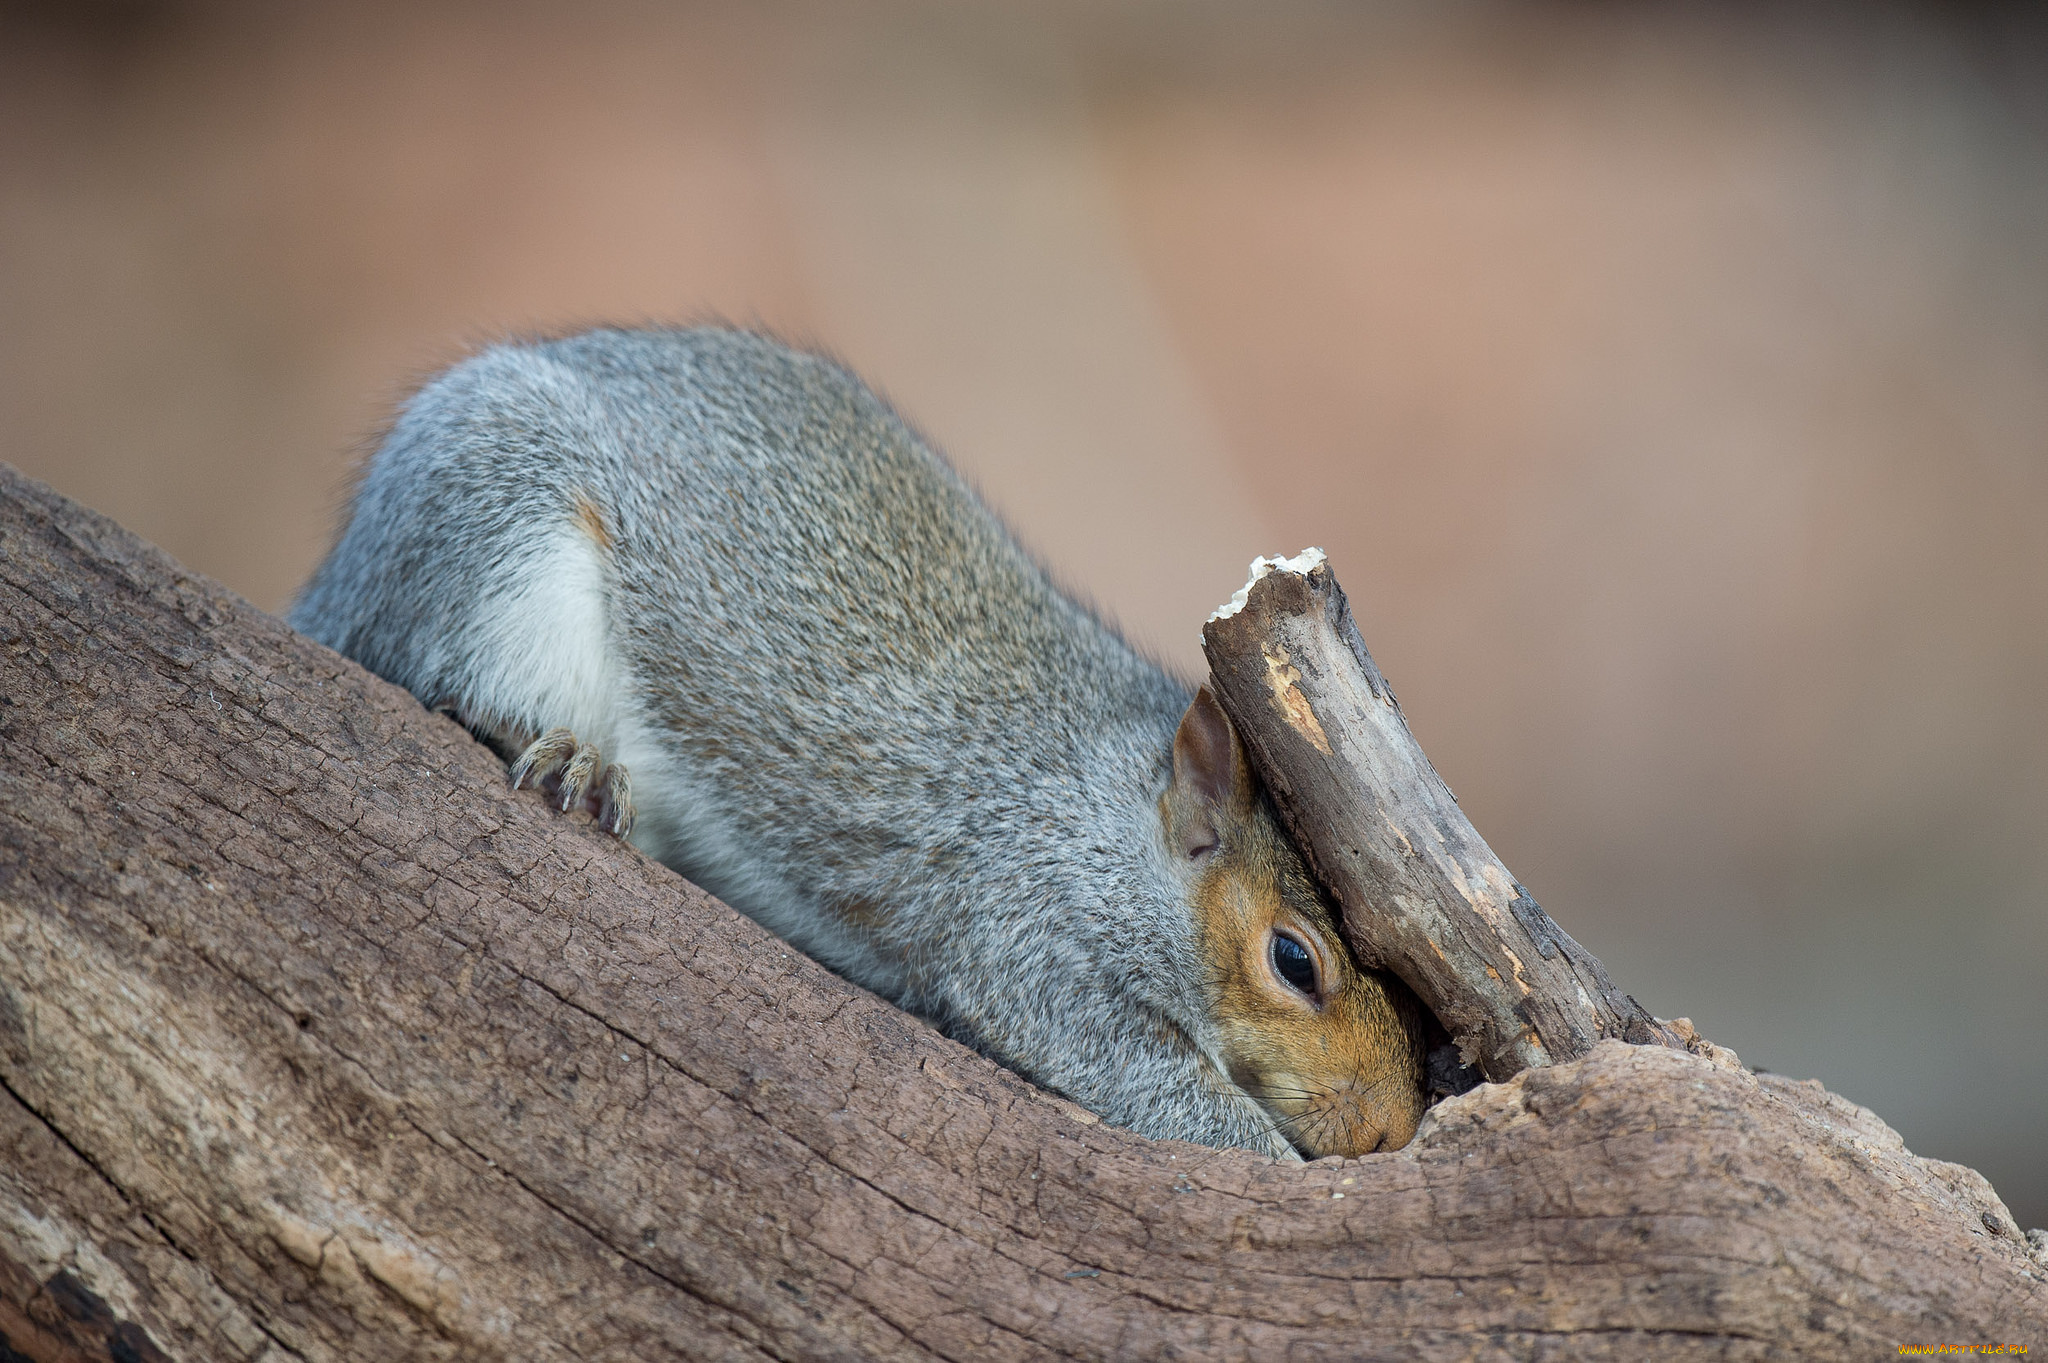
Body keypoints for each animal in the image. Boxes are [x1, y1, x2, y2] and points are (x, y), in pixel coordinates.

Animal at [292, 323, 1425, 1154]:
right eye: (1294, 961)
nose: (1386, 1131)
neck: (1111, 806)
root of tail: (334, 582)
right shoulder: (1024, 918)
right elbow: (1134, 1071)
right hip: (500, 524)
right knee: (435, 667)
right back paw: (564, 753)